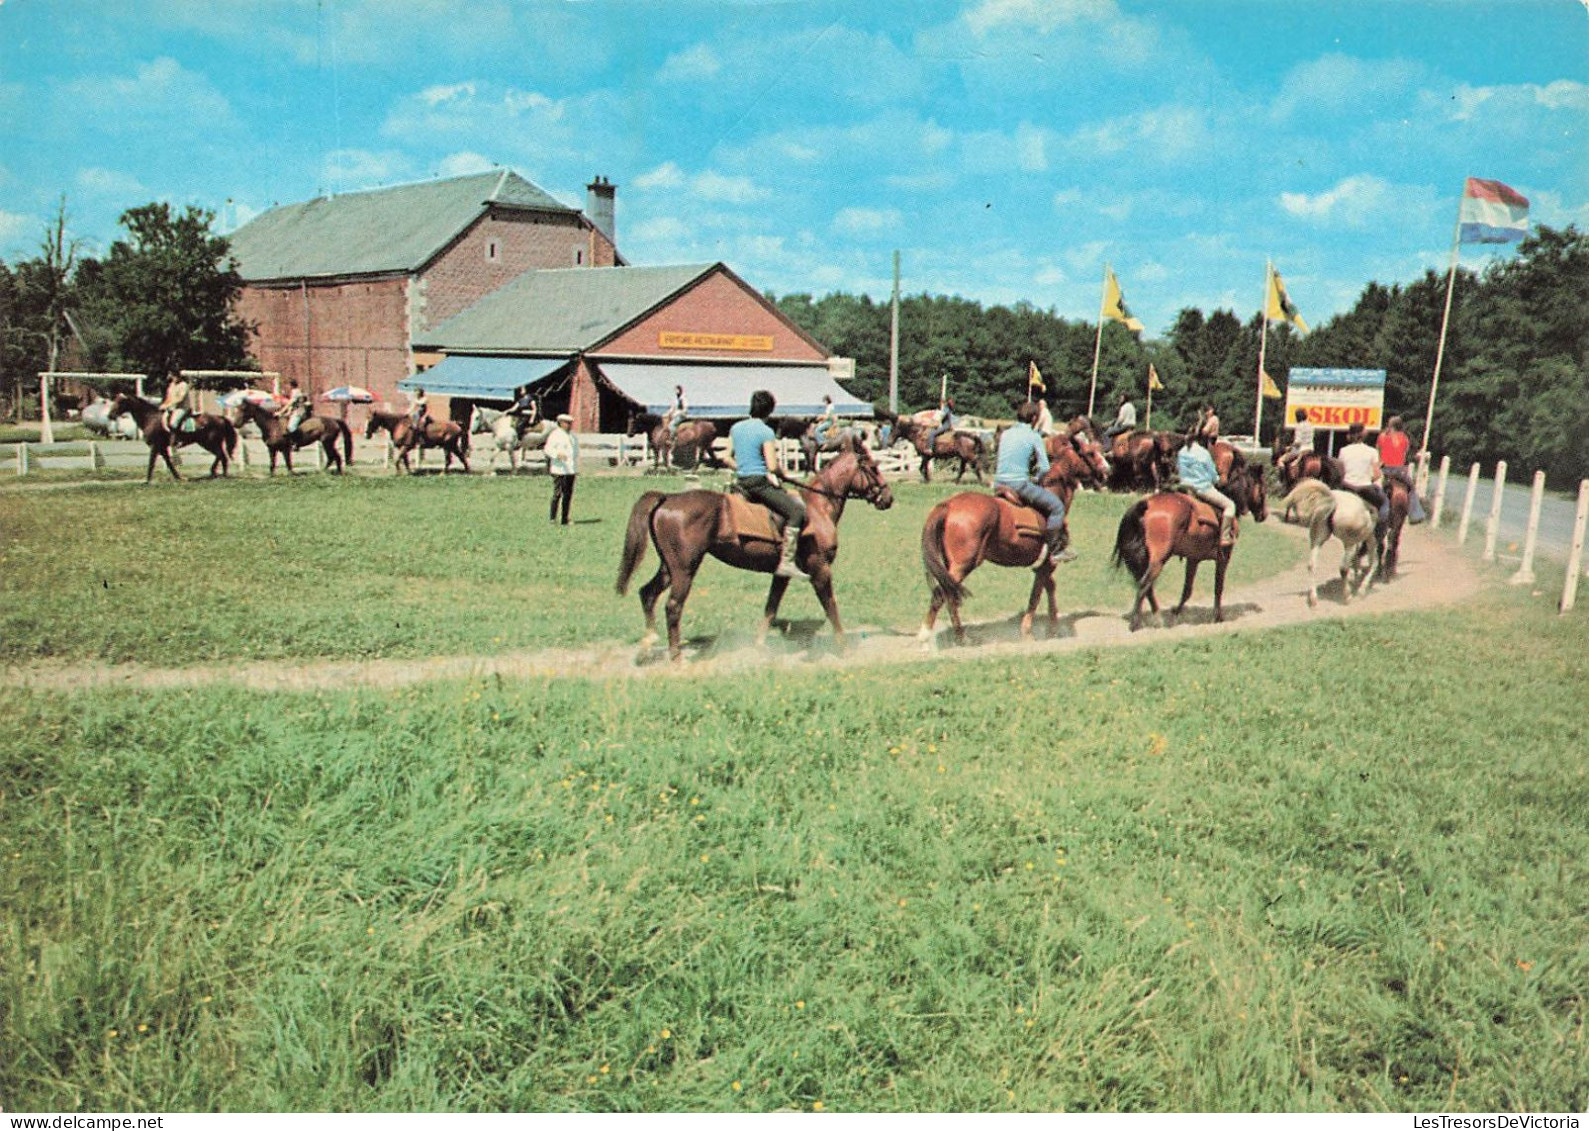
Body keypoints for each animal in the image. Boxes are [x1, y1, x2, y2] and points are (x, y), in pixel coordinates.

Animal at [110, 393, 238, 482]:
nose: (110, 415)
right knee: (222, 456)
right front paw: (178, 477)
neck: (150, 418)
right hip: (208, 443)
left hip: (209, 442)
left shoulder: (155, 446)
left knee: (220, 455)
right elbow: (169, 463)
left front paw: (147, 481)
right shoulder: (161, 448)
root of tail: (221, 418)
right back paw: (221, 475)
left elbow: (151, 463)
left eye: (120, 402)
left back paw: (215, 472)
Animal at [613, 441, 896, 663]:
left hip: (668, 566)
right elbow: (831, 607)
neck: (818, 507)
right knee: (673, 606)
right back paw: (675, 657)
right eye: (873, 467)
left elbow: (770, 608)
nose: (888, 498)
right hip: (685, 568)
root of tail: (667, 498)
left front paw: (759, 647)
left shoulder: (782, 574)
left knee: (647, 594)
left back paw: (646, 647)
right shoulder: (820, 569)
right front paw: (844, 648)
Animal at [915, 432, 1112, 644]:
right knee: (941, 594)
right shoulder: (1047, 565)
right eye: (1090, 453)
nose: (1107, 470)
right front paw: (1028, 632)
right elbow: (1036, 596)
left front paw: (1052, 629)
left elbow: (1049, 588)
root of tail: (949, 505)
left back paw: (960, 637)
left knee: (949, 594)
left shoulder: (1043, 566)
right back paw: (926, 635)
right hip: (963, 564)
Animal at [1112, 460, 1271, 635]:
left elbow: (1187, 589)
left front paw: (1177, 612)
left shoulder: (1193, 559)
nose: (1264, 515)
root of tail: (1147, 504)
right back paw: (1136, 623)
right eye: (1263, 488)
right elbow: (1218, 587)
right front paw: (1218, 617)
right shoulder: (1223, 558)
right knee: (1143, 585)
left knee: (1147, 586)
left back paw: (1158, 617)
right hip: (1158, 560)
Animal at [1277, 476, 1379, 609]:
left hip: (1318, 540)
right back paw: (1347, 596)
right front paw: (1361, 590)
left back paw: (1314, 599)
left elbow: (1357, 562)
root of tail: (1333, 500)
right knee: (1345, 568)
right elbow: (1373, 562)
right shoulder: (1370, 539)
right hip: (1350, 543)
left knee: (1312, 565)